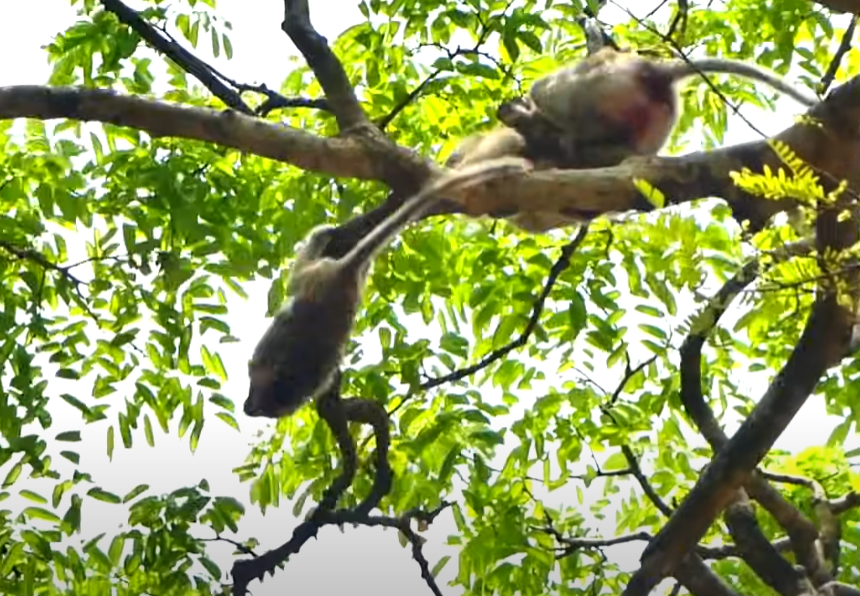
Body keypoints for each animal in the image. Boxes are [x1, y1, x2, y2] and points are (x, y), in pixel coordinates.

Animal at [243, 156, 531, 419]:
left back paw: (324, 234)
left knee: (302, 268)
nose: (248, 409)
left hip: (314, 273)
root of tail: (344, 274)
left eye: (265, 408)